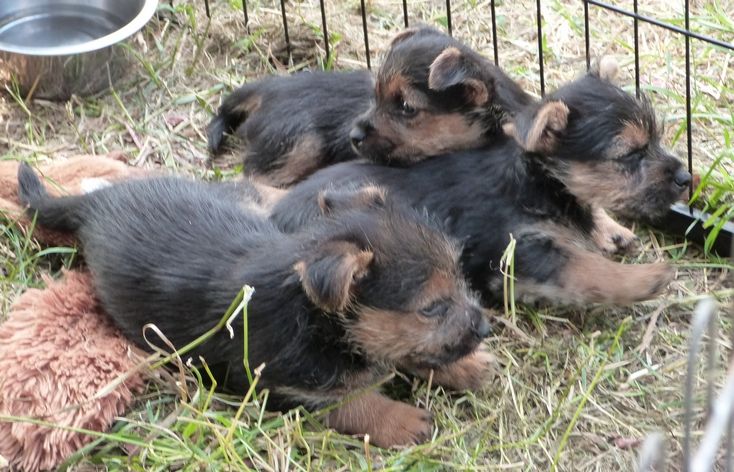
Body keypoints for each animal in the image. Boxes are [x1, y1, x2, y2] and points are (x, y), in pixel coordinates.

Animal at [15, 165, 494, 446]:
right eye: (431, 308)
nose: (486, 328)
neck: (310, 312)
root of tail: (95, 202)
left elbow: (410, 353)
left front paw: (467, 366)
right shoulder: (287, 384)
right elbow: (352, 402)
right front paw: (402, 421)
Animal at [268, 61, 688, 306]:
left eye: (655, 140)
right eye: (630, 155)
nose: (685, 178)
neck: (536, 181)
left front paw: (609, 230)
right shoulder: (517, 249)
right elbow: (584, 268)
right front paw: (648, 278)